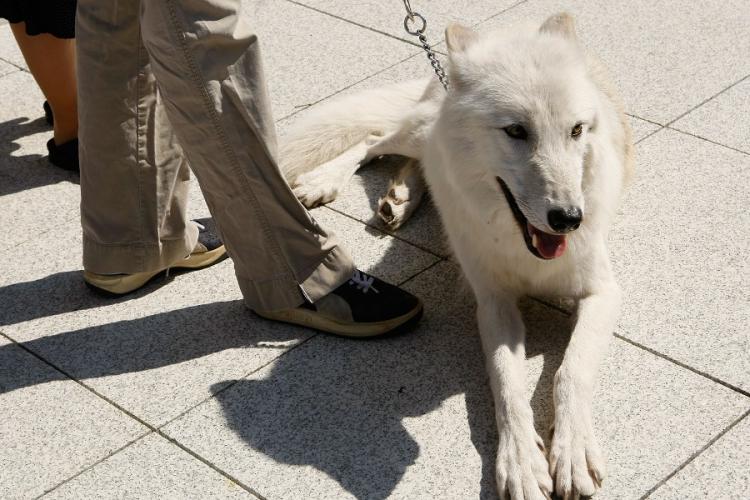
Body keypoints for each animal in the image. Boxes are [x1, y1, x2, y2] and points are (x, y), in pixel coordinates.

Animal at [282, 12, 636, 500]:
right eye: (516, 131)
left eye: (577, 130)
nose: (568, 219)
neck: (524, 247)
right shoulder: (494, 303)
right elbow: (506, 383)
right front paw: (522, 462)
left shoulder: (602, 294)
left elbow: (570, 372)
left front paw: (571, 452)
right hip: (419, 132)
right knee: (376, 139)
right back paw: (328, 181)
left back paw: (398, 198)